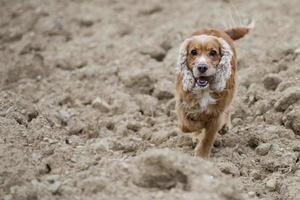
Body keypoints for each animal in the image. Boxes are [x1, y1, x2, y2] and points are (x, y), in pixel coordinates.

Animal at [176, 23, 253, 158]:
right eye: (193, 52)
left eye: (213, 52)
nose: (202, 67)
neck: (204, 90)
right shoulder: (182, 104)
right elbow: (187, 125)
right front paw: (197, 131)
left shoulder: (217, 112)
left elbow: (208, 136)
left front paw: (201, 156)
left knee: (228, 108)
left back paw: (224, 127)